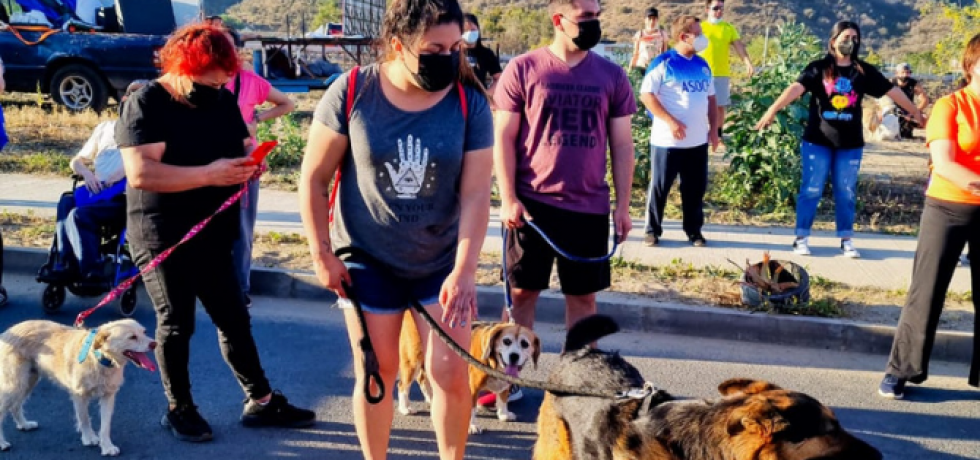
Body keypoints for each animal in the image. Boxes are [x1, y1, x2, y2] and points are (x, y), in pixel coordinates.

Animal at [0, 320, 156, 456]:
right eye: (132, 337)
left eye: (144, 332)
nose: (155, 344)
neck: (100, 358)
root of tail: (7, 332)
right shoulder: (79, 395)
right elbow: (84, 418)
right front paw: (89, 438)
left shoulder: (108, 396)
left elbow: (105, 426)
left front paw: (107, 446)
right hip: (14, 386)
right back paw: (2, 443)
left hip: (27, 382)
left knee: (15, 406)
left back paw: (24, 425)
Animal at [394, 312, 540, 434]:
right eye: (507, 341)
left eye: (525, 344)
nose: (514, 356)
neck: (495, 363)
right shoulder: (472, 388)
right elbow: (471, 409)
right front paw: (471, 426)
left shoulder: (505, 383)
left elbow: (503, 399)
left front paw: (504, 414)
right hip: (413, 361)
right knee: (403, 386)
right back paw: (405, 408)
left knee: (423, 379)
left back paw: (431, 398)